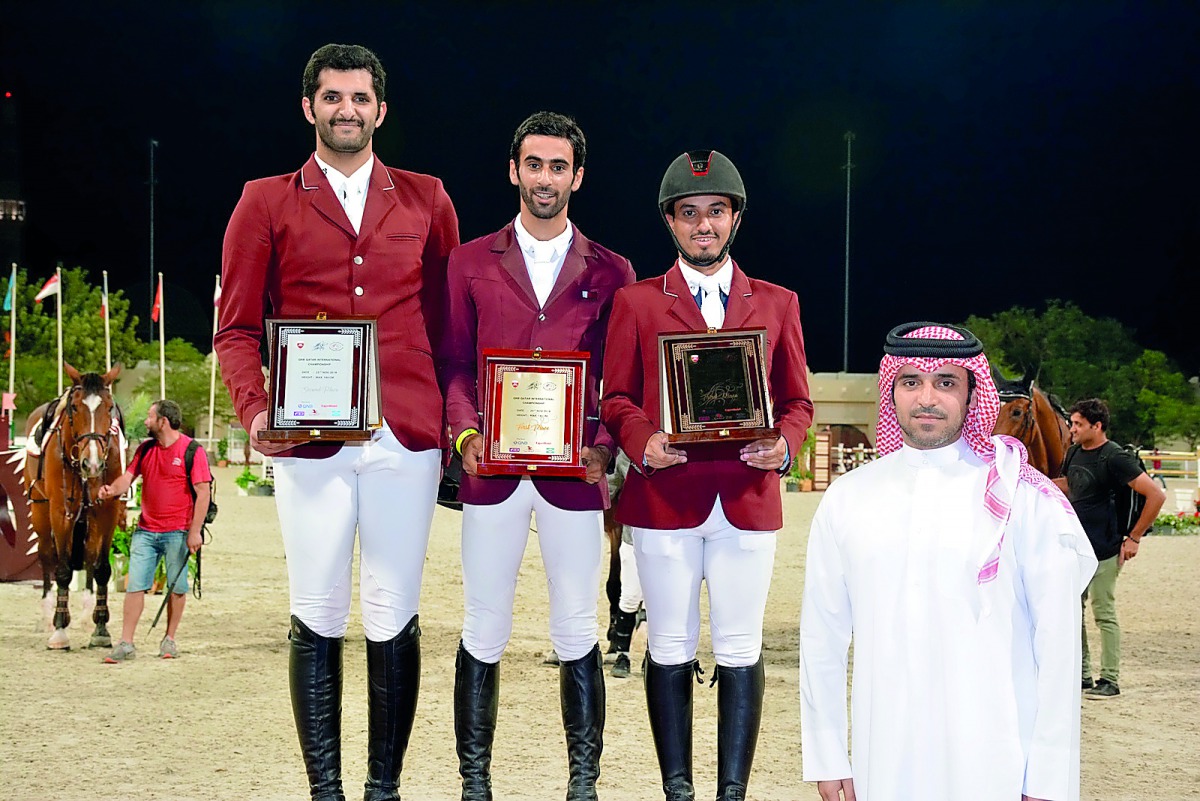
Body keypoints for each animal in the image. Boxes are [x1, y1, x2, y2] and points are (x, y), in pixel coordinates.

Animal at [23, 364, 125, 652]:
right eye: (76, 407)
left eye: (109, 407)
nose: (92, 464)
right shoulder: (60, 512)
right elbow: (63, 570)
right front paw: (59, 629)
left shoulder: (108, 510)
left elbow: (101, 567)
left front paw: (100, 628)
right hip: (40, 510)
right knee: (47, 557)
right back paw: (47, 616)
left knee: (89, 556)